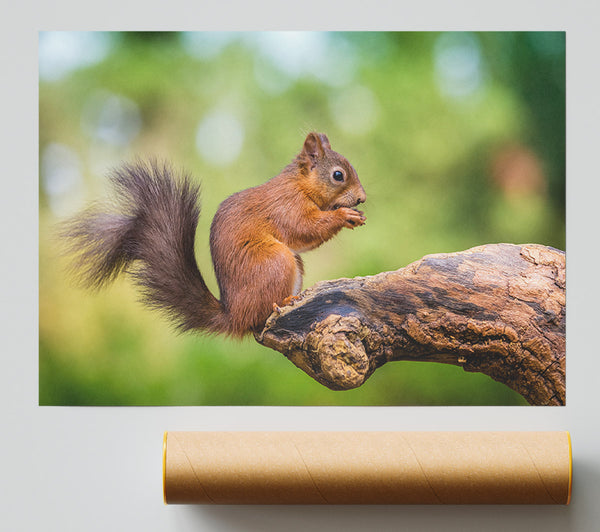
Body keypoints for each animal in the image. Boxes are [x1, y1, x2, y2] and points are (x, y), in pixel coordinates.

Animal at [63, 132, 368, 336]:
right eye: (338, 175)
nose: (362, 199)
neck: (299, 185)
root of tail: (233, 317)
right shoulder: (286, 207)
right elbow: (304, 228)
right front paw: (344, 216)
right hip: (274, 261)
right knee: (260, 317)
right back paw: (284, 302)